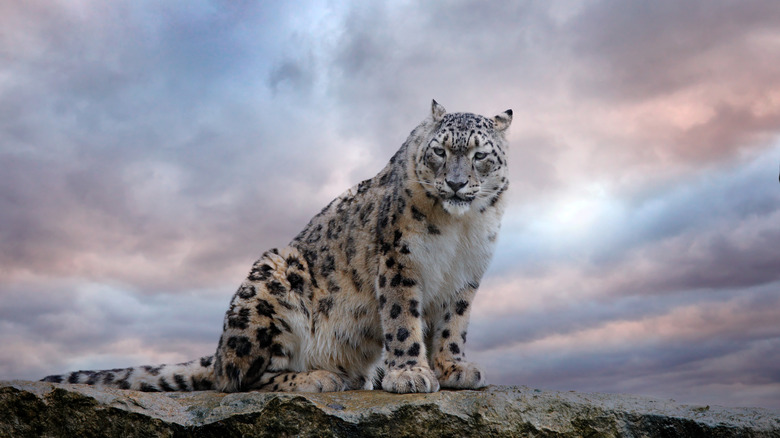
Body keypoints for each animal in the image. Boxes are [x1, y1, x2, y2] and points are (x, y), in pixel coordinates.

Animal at [41, 100, 513, 394]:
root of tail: (219, 350)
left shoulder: (465, 276)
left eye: (479, 155)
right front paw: (411, 374)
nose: (455, 183)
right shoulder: (400, 260)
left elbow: (452, 326)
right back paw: (316, 378)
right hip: (270, 285)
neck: (460, 230)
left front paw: (454, 368)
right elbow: (401, 320)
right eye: (439, 152)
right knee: (238, 379)